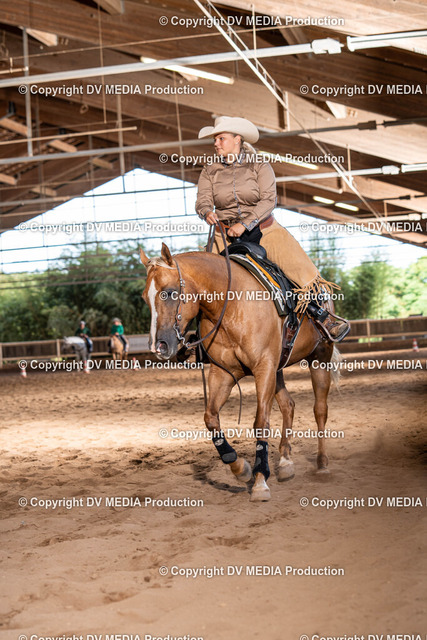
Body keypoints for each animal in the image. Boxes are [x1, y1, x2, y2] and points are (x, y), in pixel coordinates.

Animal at [140, 243, 341, 502]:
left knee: (320, 410)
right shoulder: (224, 373)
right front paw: (240, 468)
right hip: (278, 368)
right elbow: (210, 418)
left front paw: (260, 480)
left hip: (319, 358)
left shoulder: (263, 367)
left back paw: (322, 464)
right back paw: (285, 462)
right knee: (288, 405)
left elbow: (261, 422)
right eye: (145, 297)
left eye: (170, 292)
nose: (159, 346)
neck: (232, 305)